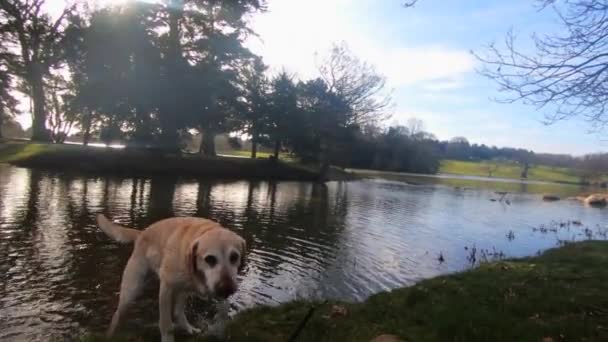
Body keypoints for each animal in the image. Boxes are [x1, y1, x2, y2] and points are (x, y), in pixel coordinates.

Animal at [97, 215, 245, 340]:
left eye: (234, 257)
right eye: (210, 259)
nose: (227, 289)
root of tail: (142, 233)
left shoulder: (215, 288)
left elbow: (224, 309)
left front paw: (218, 330)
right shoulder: (166, 289)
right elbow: (166, 324)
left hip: (182, 290)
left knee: (178, 312)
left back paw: (189, 328)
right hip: (132, 290)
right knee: (117, 315)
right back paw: (109, 335)